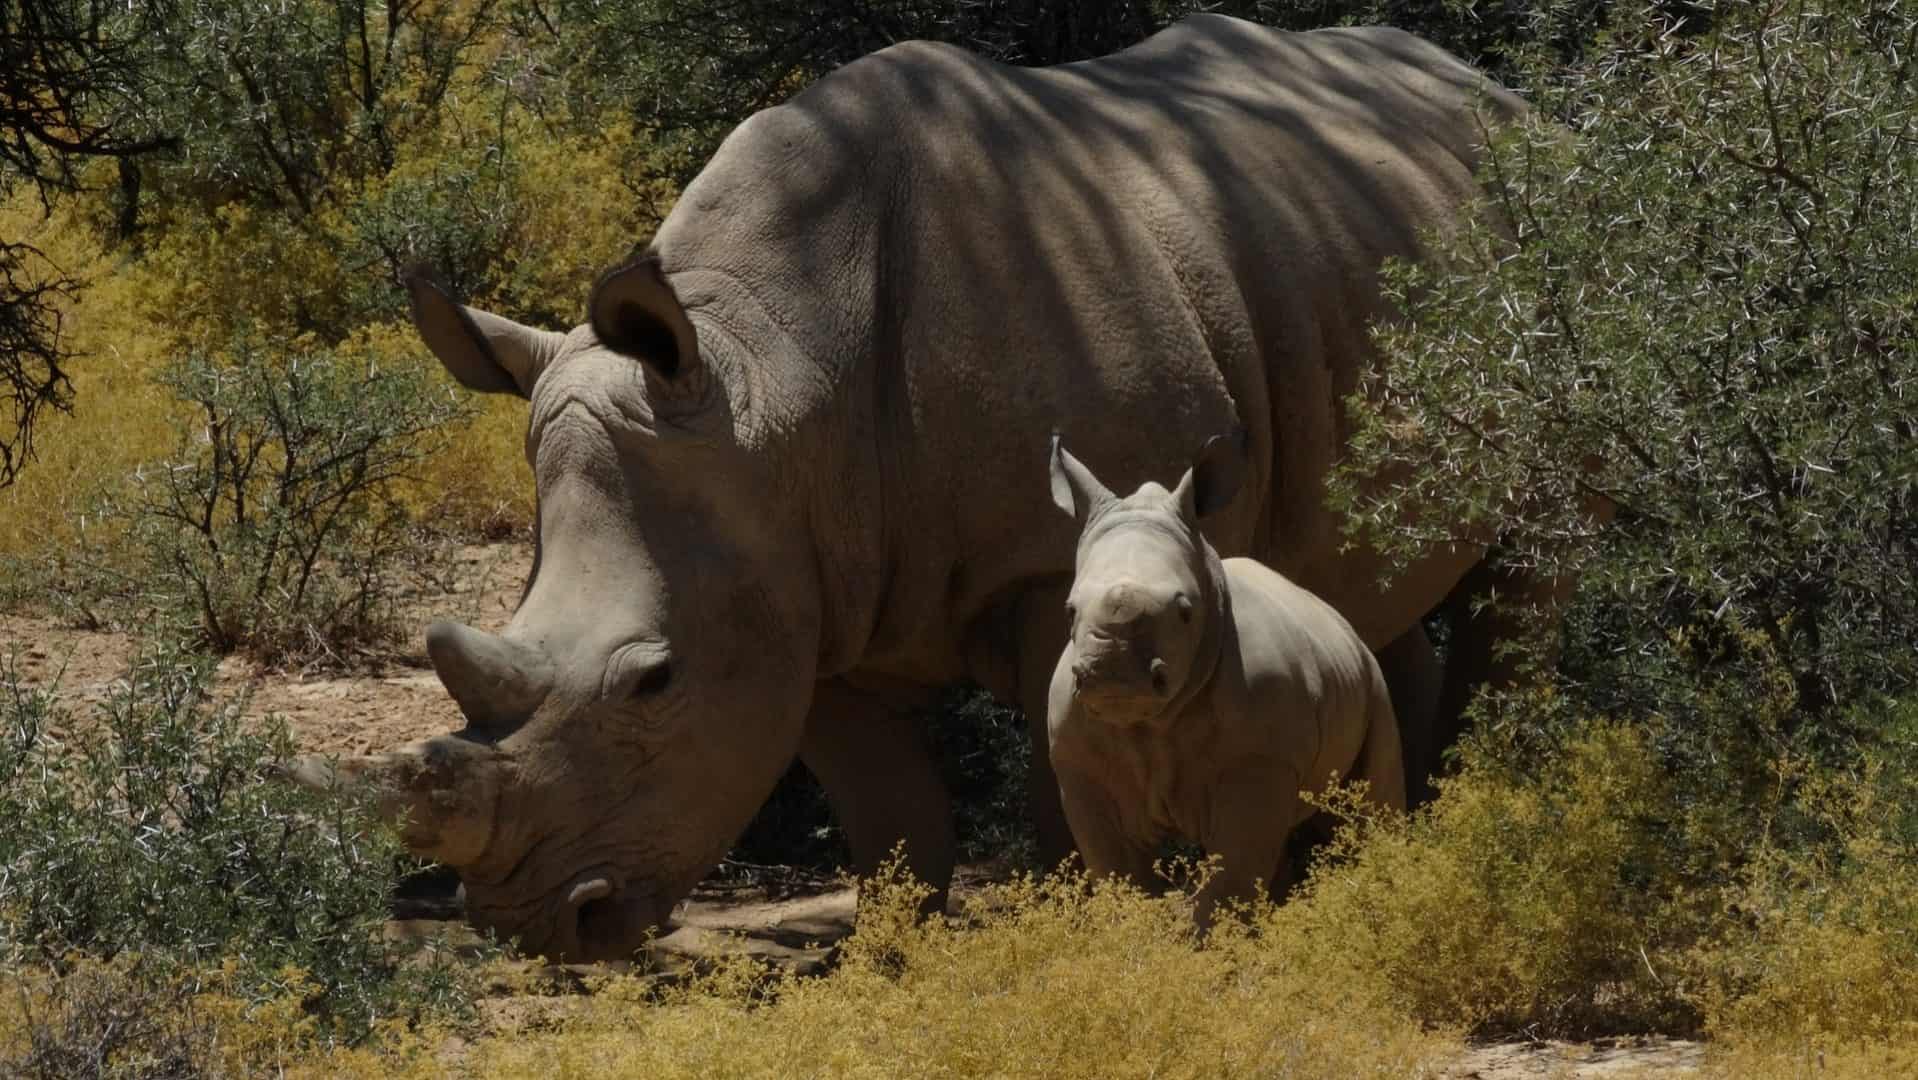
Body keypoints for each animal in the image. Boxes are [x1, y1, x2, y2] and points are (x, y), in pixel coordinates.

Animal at [1046, 433, 1404, 926]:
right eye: (1069, 611)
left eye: (1184, 611)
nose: (1112, 673)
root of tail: (1339, 621)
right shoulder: (1080, 769)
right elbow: (1119, 875)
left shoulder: (1260, 759)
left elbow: (1231, 878)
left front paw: (1213, 941)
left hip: (1372, 675)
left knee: (1374, 806)